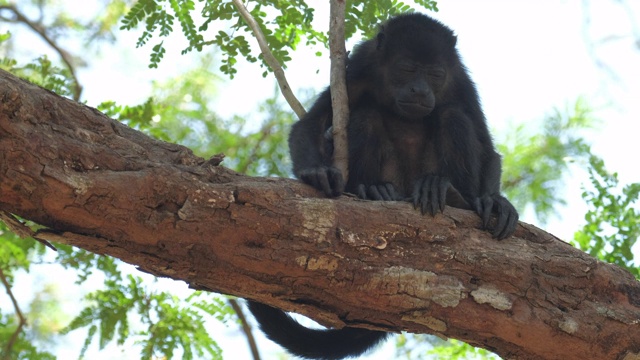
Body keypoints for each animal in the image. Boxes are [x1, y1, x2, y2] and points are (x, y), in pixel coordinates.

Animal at [248, 12, 516, 360]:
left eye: (435, 74)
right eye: (407, 69)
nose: (419, 90)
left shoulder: (459, 79)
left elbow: (486, 146)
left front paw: (494, 200)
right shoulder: (359, 67)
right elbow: (312, 123)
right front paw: (317, 171)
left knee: (453, 116)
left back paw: (454, 195)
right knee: (367, 117)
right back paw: (373, 190)